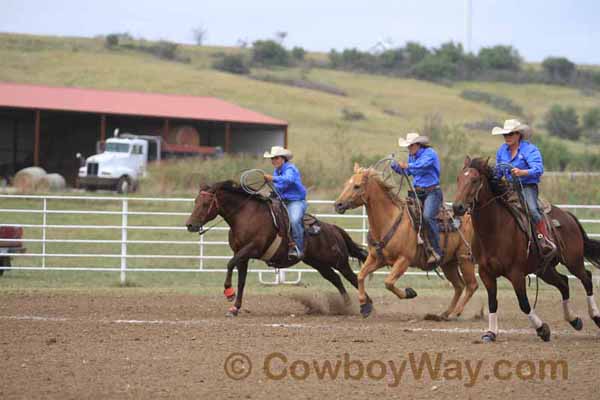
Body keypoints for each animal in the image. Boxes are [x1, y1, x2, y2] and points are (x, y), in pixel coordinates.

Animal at [185, 180, 368, 316]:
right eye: (195, 201)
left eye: (205, 203)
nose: (190, 225)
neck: (245, 216)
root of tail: (333, 229)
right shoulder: (242, 256)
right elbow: (241, 281)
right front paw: (235, 308)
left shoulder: (251, 249)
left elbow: (229, 264)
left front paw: (229, 293)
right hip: (318, 263)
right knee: (335, 278)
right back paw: (347, 305)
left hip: (338, 261)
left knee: (353, 277)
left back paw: (366, 305)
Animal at [332, 165, 478, 318]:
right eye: (346, 184)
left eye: (357, 186)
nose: (338, 204)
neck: (389, 220)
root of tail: (468, 217)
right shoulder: (377, 258)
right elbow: (360, 276)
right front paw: (364, 307)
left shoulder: (404, 260)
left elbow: (388, 282)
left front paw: (410, 292)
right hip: (448, 263)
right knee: (459, 286)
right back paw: (445, 314)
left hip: (465, 258)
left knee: (472, 285)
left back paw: (456, 312)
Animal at [454, 155, 600, 340]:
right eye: (459, 179)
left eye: (474, 180)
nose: (457, 207)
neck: (494, 230)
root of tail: (568, 216)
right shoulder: (486, 273)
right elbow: (493, 303)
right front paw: (491, 333)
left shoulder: (516, 273)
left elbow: (523, 303)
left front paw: (542, 329)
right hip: (544, 269)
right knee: (564, 283)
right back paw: (574, 320)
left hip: (573, 261)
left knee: (586, 278)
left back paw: (595, 316)